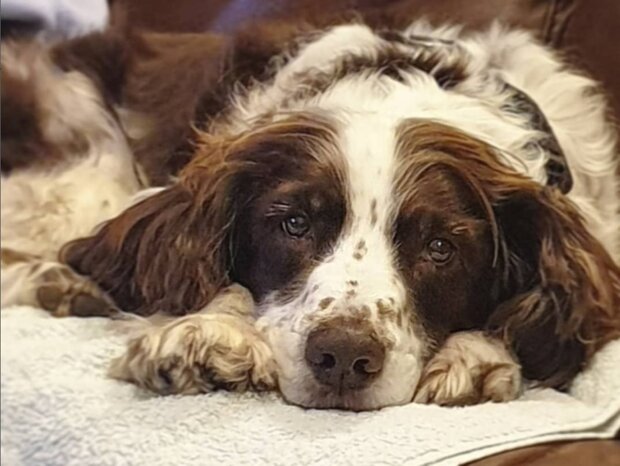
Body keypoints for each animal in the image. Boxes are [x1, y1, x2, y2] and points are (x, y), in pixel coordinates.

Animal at [1, 17, 620, 412]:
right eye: (294, 224)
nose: (343, 356)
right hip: (87, 166)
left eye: (440, 247)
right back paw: (57, 281)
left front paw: (475, 354)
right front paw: (209, 334)